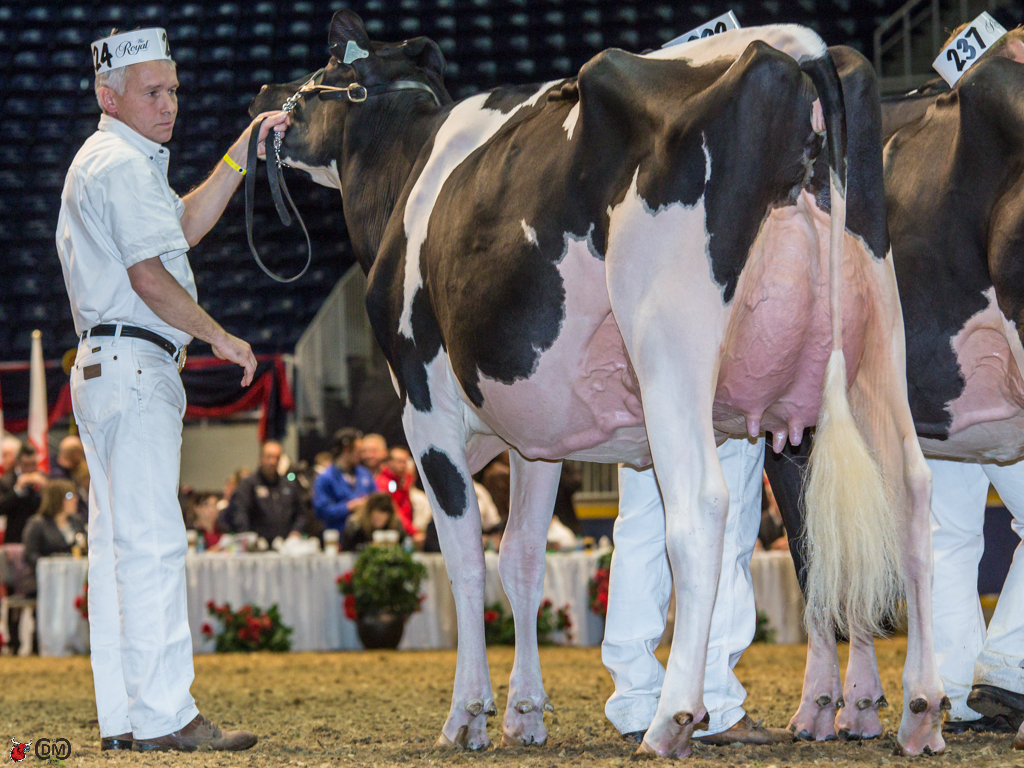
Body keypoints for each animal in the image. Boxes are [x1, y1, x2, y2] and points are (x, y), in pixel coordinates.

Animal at [251, 10, 937, 757]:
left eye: (319, 72)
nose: (263, 93)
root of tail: (798, 49)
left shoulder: (424, 409)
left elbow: (464, 561)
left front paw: (467, 714)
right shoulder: (534, 433)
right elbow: (520, 558)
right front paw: (524, 712)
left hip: (670, 345)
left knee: (701, 509)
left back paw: (671, 720)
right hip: (876, 337)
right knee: (907, 490)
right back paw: (919, 709)